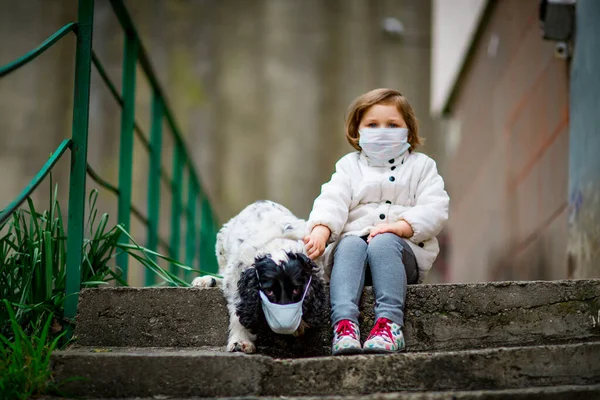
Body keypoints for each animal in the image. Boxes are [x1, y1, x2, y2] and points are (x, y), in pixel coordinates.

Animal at [191, 200, 324, 354]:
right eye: (269, 291)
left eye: (297, 289)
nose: (284, 326)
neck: (277, 243)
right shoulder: (236, 276)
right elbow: (237, 309)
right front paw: (240, 341)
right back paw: (206, 280)